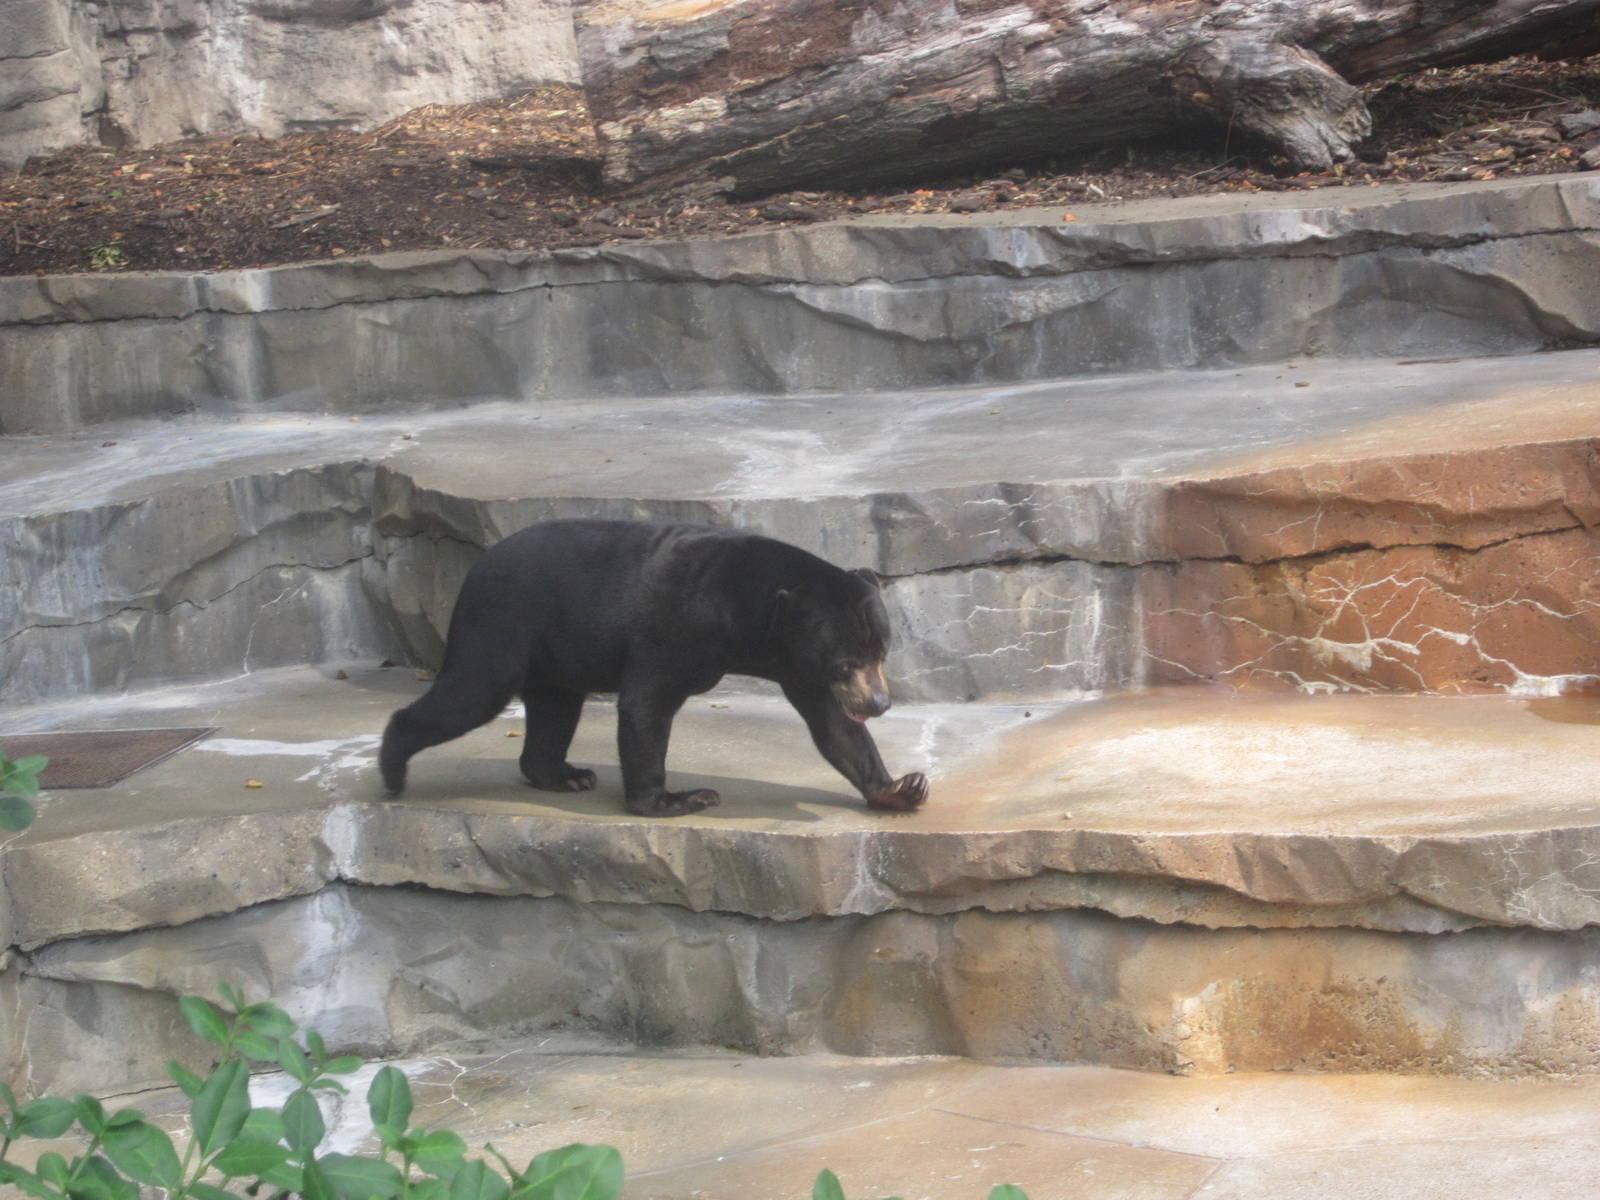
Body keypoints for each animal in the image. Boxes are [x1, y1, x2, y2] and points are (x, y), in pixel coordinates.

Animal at [379, 518, 929, 817]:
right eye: (844, 662)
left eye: (881, 651)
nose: (879, 703)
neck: (744, 610)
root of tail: (474, 567)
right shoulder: (678, 626)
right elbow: (646, 704)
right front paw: (679, 798)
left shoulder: (796, 661)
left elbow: (834, 727)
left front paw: (900, 789)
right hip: (502, 625)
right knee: (471, 693)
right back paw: (393, 770)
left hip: (554, 649)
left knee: (555, 708)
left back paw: (566, 774)